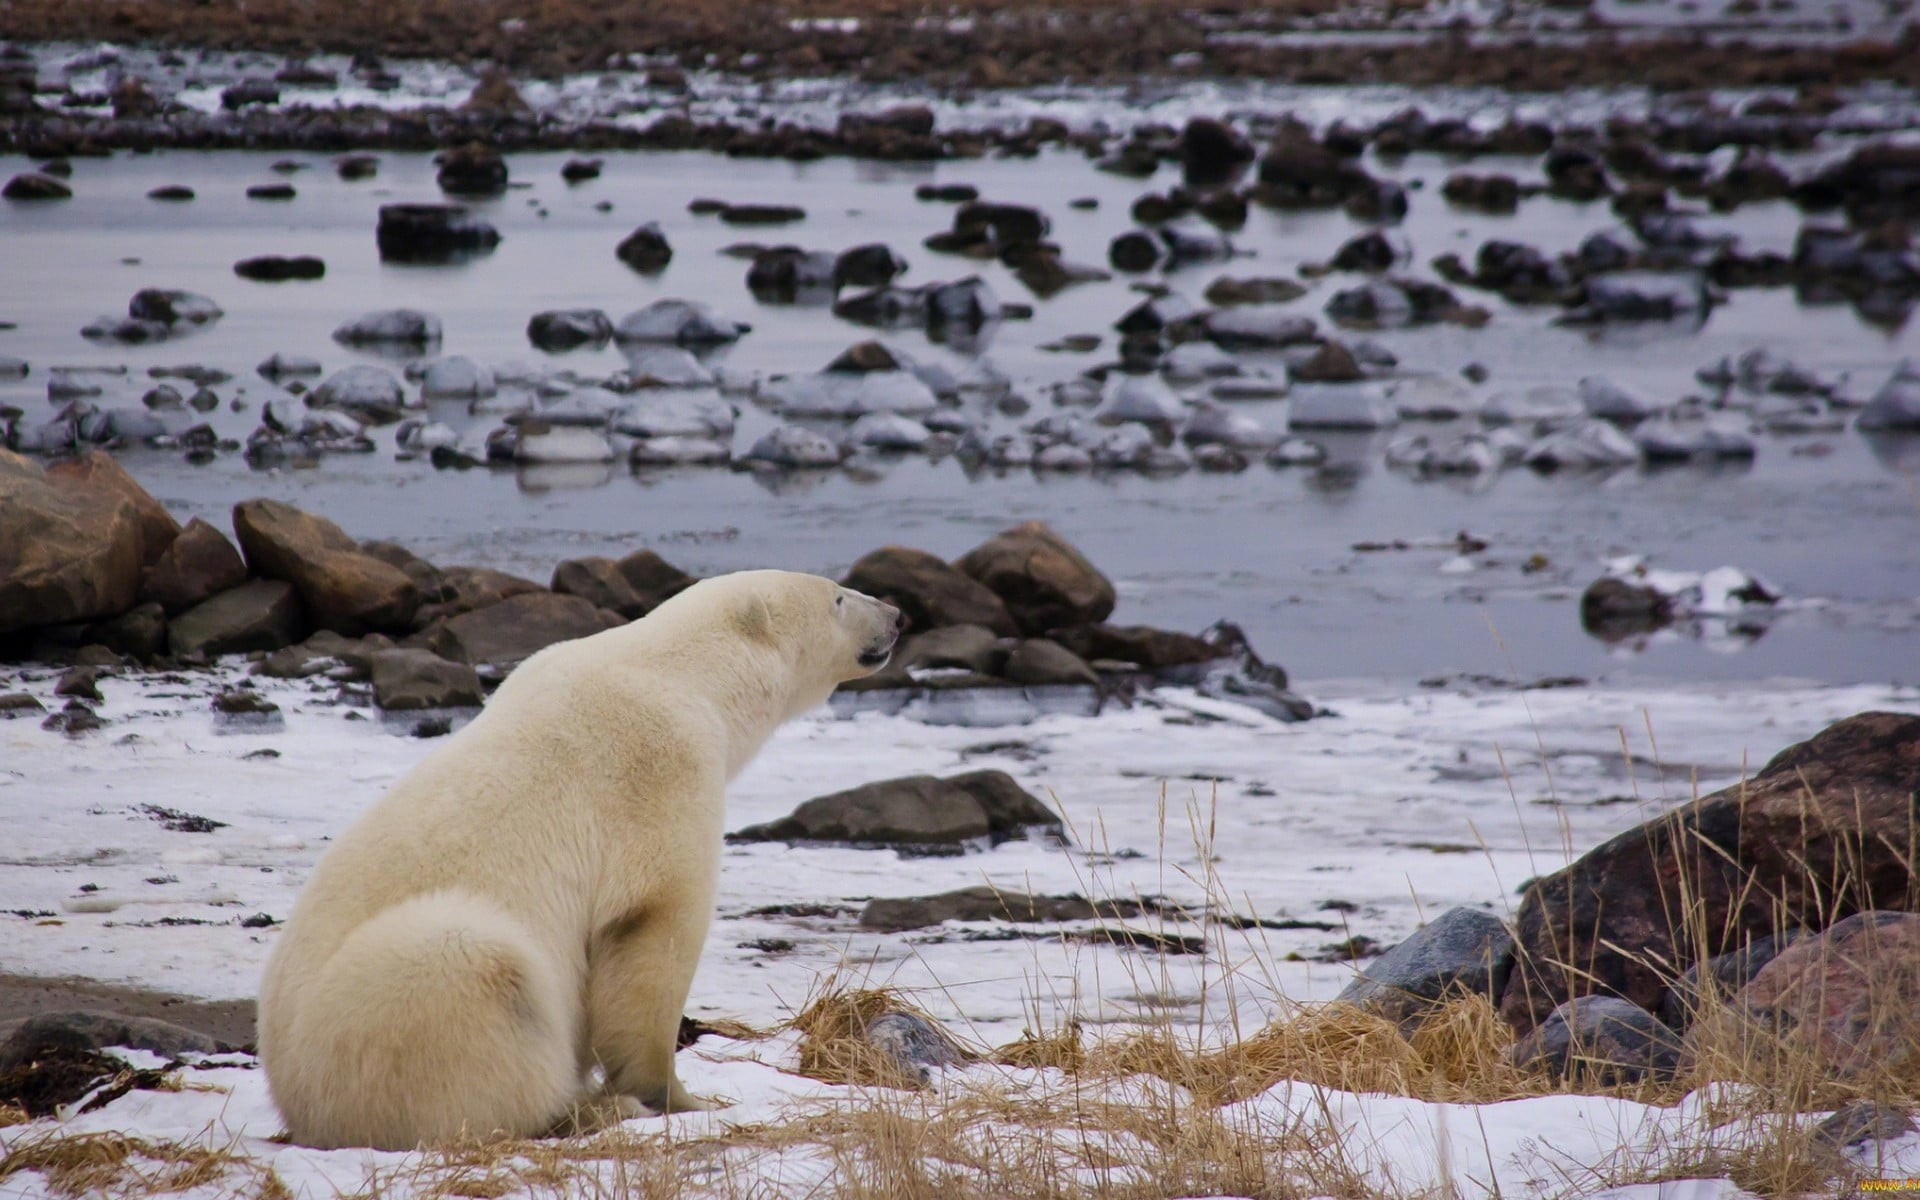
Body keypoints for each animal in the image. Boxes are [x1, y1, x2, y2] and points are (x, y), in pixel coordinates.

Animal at [257, 570, 903, 1149]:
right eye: (838, 597)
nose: (897, 615)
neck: (683, 674)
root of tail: (294, 1100)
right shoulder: (661, 766)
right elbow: (654, 926)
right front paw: (679, 1097)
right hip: (383, 1007)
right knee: (481, 977)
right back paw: (587, 1109)